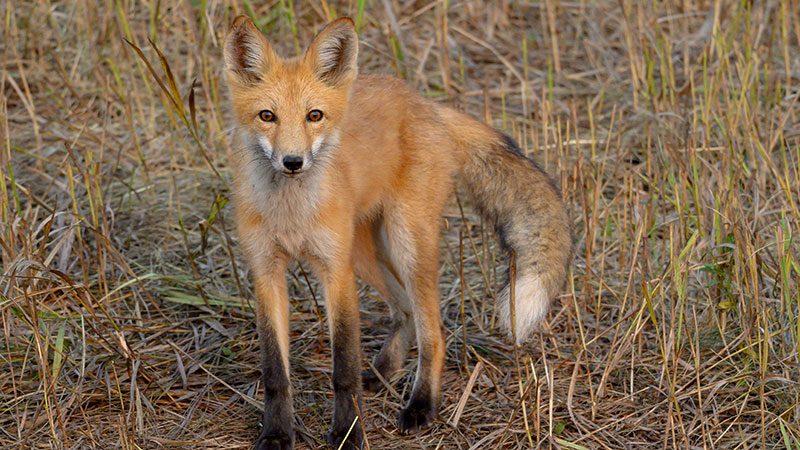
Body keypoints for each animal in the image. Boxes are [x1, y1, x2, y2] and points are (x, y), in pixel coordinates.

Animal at [222, 15, 572, 448]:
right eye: (267, 116)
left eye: (314, 115)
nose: (292, 161)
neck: (291, 214)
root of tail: (427, 104)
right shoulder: (266, 271)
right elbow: (274, 373)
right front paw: (275, 434)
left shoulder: (335, 273)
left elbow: (343, 369)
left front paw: (347, 432)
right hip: (365, 252)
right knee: (404, 311)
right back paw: (383, 372)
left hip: (406, 242)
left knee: (434, 331)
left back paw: (421, 405)